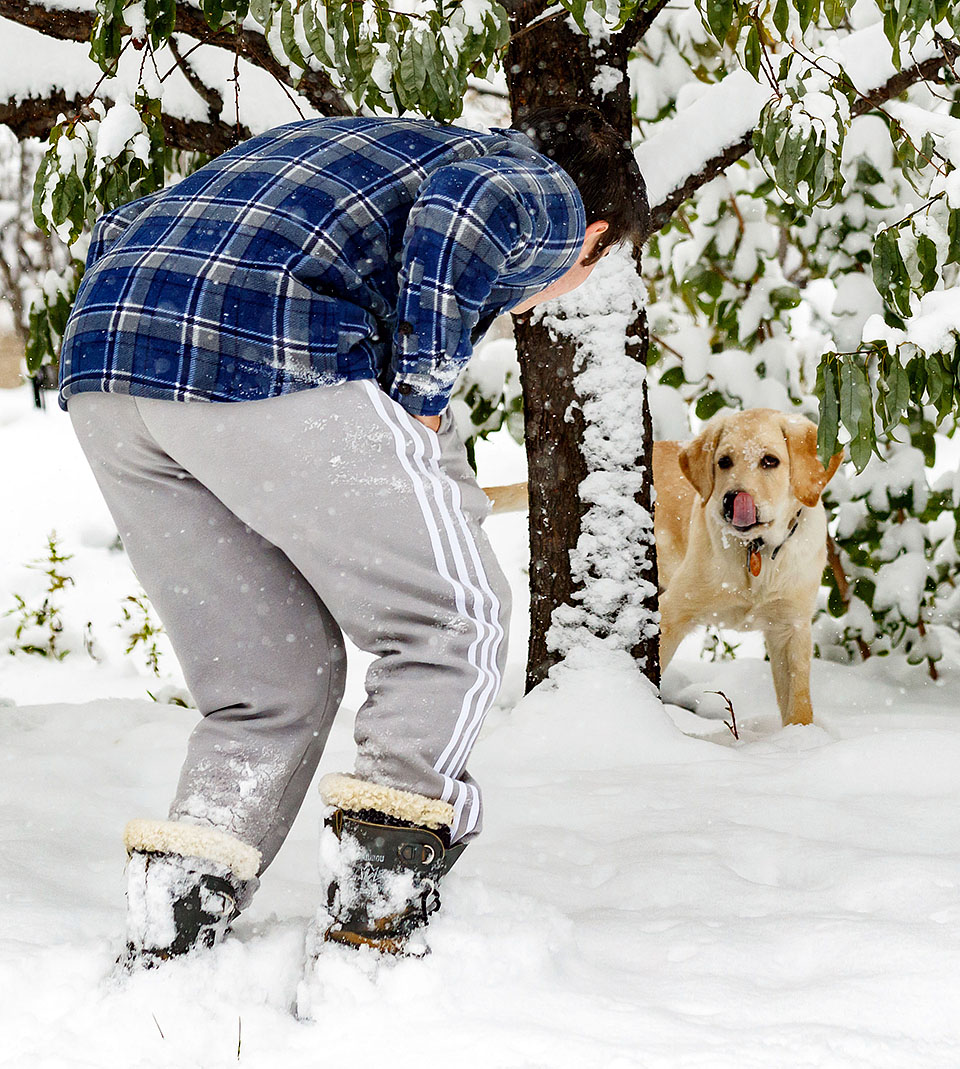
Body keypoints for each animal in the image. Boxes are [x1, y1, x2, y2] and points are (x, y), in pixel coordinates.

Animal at [654, 408, 842, 726]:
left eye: (770, 461)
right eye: (723, 462)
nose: (732, 500)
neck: (758, 550)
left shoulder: (792, 628)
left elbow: (798, 704)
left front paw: (801, 736)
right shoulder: (673, 612)